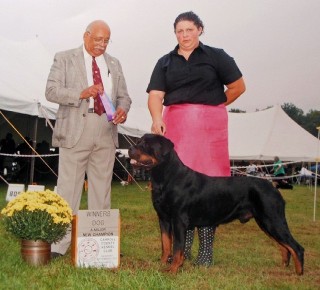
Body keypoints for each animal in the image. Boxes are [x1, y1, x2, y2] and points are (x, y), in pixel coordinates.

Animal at [128, 134, 304, 274]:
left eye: (145, 144)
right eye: (138, 141)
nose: (129, 149)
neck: (165, 178)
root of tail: (273, 187)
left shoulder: (179, 220)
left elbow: (178, 247)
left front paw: (172, 270)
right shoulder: (164, 219)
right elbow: (165, 244)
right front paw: (162, 264)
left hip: (272, 219)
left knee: (296, 247)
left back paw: (299, 274)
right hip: (266, 222)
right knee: (284, 246)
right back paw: (283, 267)